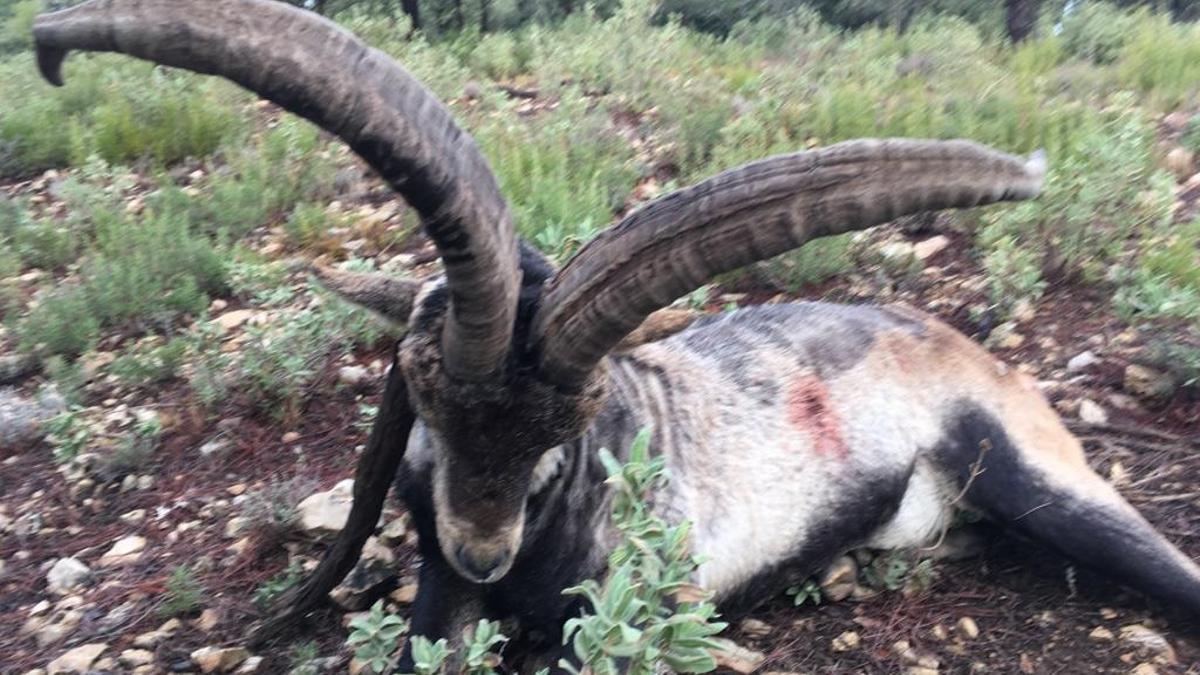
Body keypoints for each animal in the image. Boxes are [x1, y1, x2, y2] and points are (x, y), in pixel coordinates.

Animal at [32, 0, 1200, 670]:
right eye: (426, 406)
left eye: (560, 436)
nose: (484, 545)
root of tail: (960, 343)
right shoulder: (443, 590)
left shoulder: (636, 597)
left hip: (1033, 472)